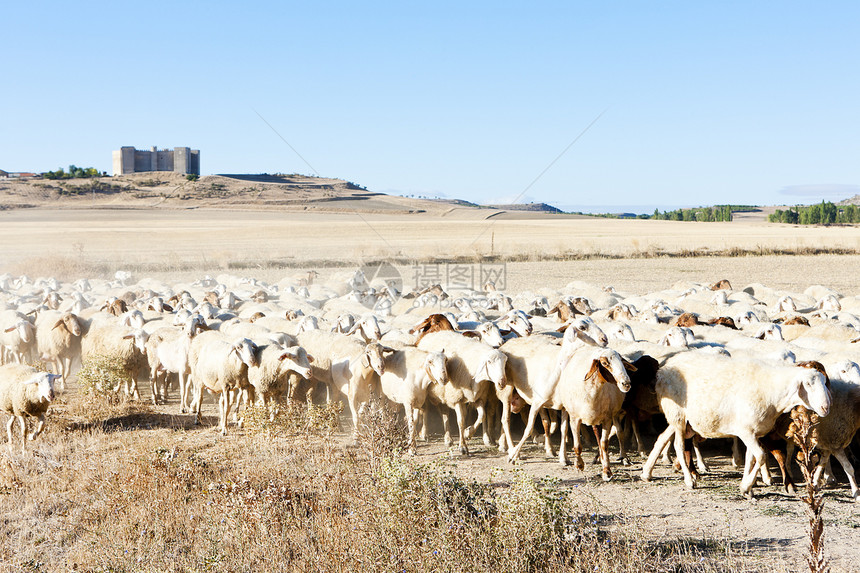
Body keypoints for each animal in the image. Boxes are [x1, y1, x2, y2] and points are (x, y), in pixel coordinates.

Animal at [640, 354, 828, 496]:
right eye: (808, 384)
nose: (826, 407)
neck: (773, 392)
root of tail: (663, 370)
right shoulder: (746, 431)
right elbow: (760, 456)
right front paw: (746, 486)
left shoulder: (753, 431)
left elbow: (751, 459)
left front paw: (748, 489)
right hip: (677, 415)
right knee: (678, 446)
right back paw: (688, 480)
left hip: (683, 419)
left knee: (662, 437)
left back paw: (646, 473)